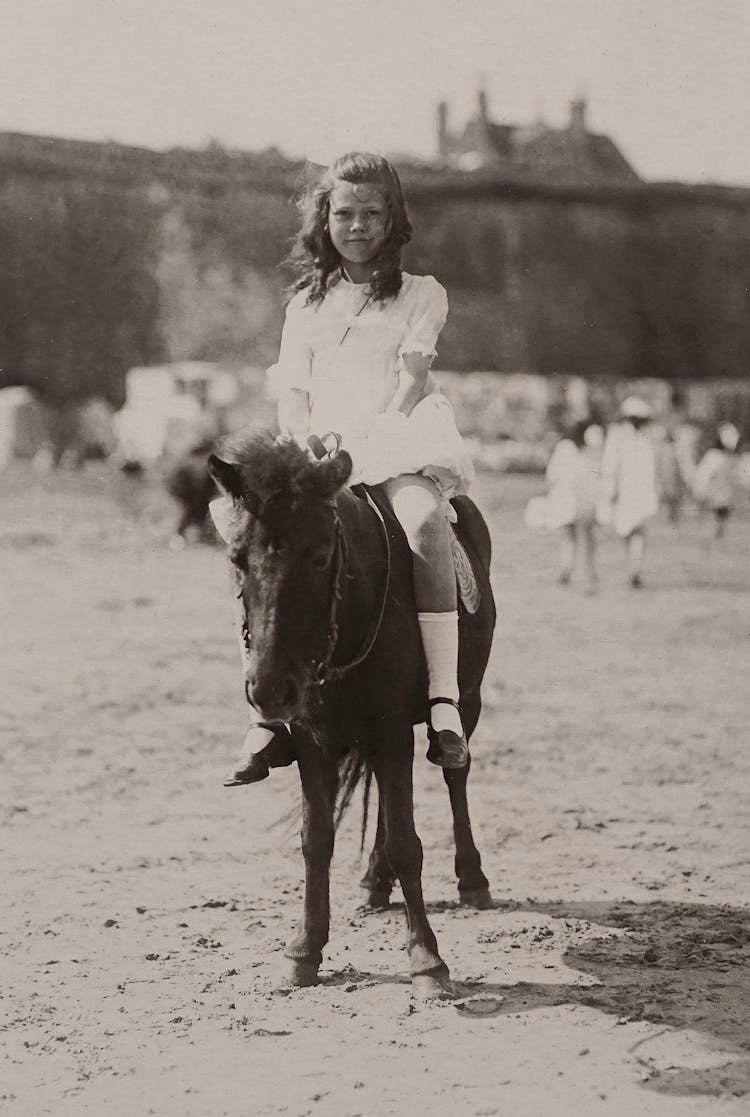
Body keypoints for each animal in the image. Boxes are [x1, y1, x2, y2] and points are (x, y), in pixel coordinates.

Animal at [207, 428, 496, 996]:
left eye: (320, 557)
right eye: (236, 558)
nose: (269, 690)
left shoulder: (392, 731)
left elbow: (408, 842)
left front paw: (427, 960)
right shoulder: (312, 738)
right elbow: (316, 840)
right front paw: (304, 950)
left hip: (466, 700)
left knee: (457, 775)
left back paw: (472, 879)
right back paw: (374, 882)